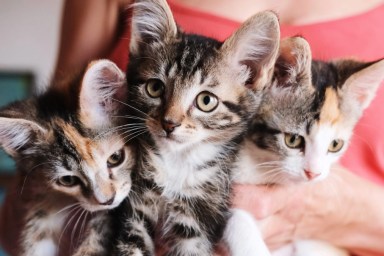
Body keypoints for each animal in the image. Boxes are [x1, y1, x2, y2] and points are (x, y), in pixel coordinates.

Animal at [112, 1, 280, 255]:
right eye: (154, 88)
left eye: (206, 101)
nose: (169, 123)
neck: (178, 161)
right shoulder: (137, 206)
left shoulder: (198, 217)